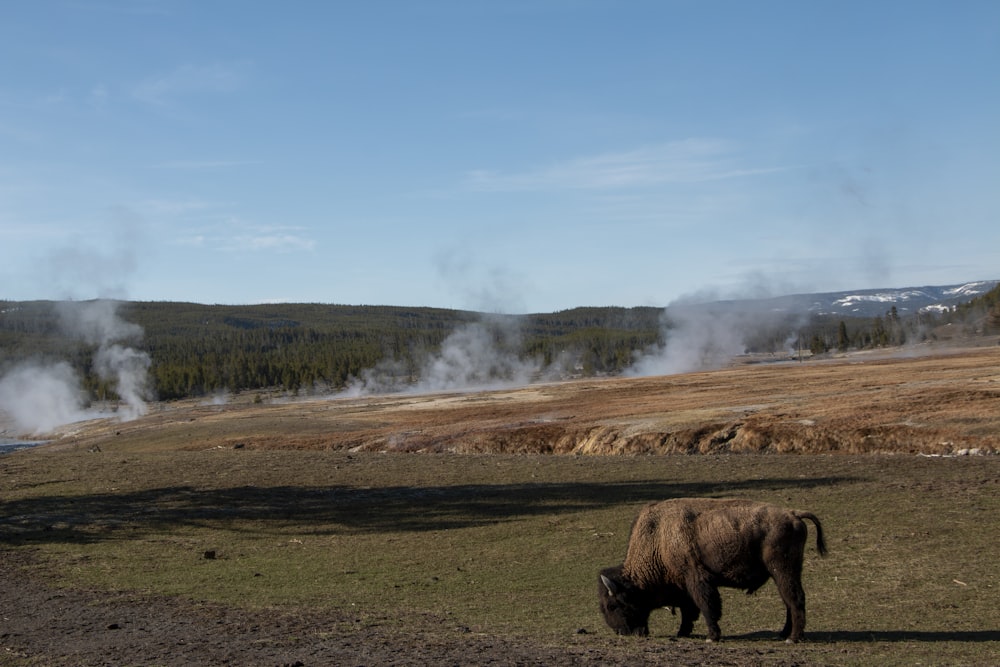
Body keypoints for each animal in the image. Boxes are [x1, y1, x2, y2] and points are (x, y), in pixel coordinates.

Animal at [596, 498, 824, 644]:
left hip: (783, 570)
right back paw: (783, 634)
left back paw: (792, 638)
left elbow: (706, 606)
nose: (622, 632)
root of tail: (793, 514)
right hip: (785, 572)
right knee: (788, 601)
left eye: (613, 605)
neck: (658, 538)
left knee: (795, 599)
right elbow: (689, 610)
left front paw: (712, 637)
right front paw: (682, 633)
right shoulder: (683, 585)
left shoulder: (697, 579)